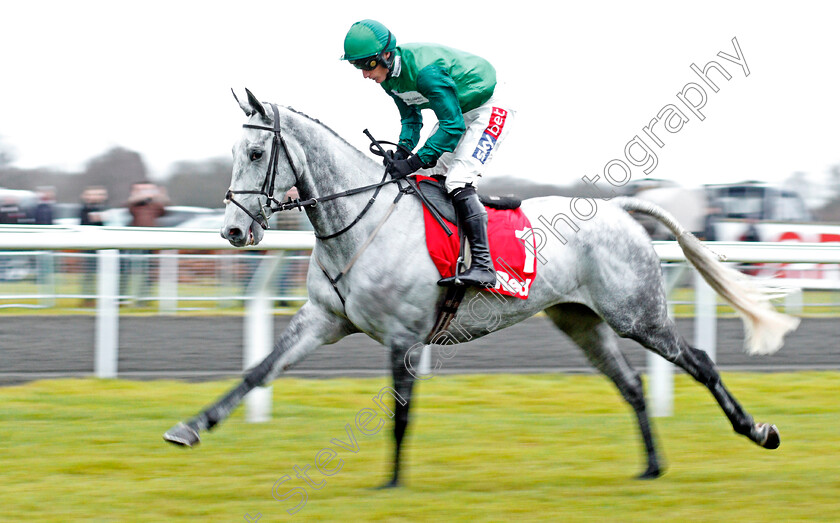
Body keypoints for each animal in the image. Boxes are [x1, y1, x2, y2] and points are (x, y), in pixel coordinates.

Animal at [166, 90, 800, 488]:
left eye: (255, 152)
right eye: (233, 153)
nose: (233, 231)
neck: (360, 223)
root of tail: (622, 210)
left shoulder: (403, 336)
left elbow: (401, 410)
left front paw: (391, 483)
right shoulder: (323, 319)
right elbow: (257, 371)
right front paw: (190, 427)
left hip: (636, 314)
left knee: (699, 362)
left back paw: (759, 432)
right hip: (581, 321)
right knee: (631, 385)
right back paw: (650, 466)